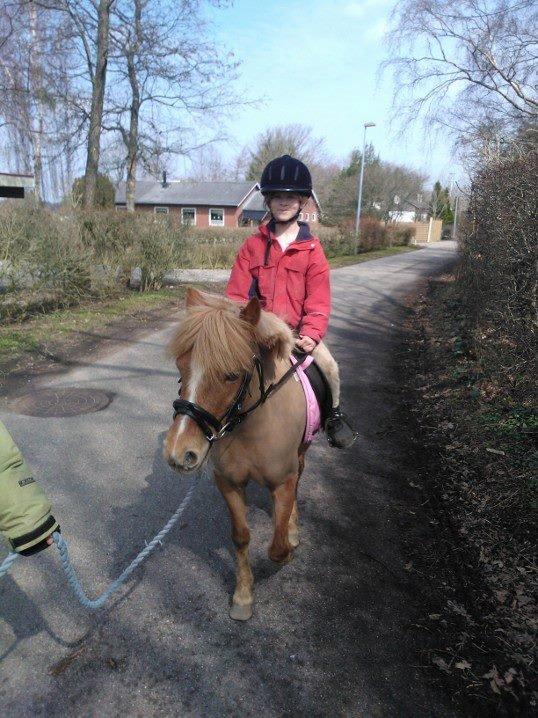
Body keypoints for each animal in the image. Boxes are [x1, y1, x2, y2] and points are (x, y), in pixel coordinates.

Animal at [163, 288, 310, 620]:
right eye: (180, 366)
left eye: (231, 375)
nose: (180, 453)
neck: (251, 429)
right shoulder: (229, 483)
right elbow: (241, 537)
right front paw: (243, 596)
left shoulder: (282, 482)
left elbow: (277, 548)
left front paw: (288, 547)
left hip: (301, 454)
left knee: (299, 480)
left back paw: (293, 528)